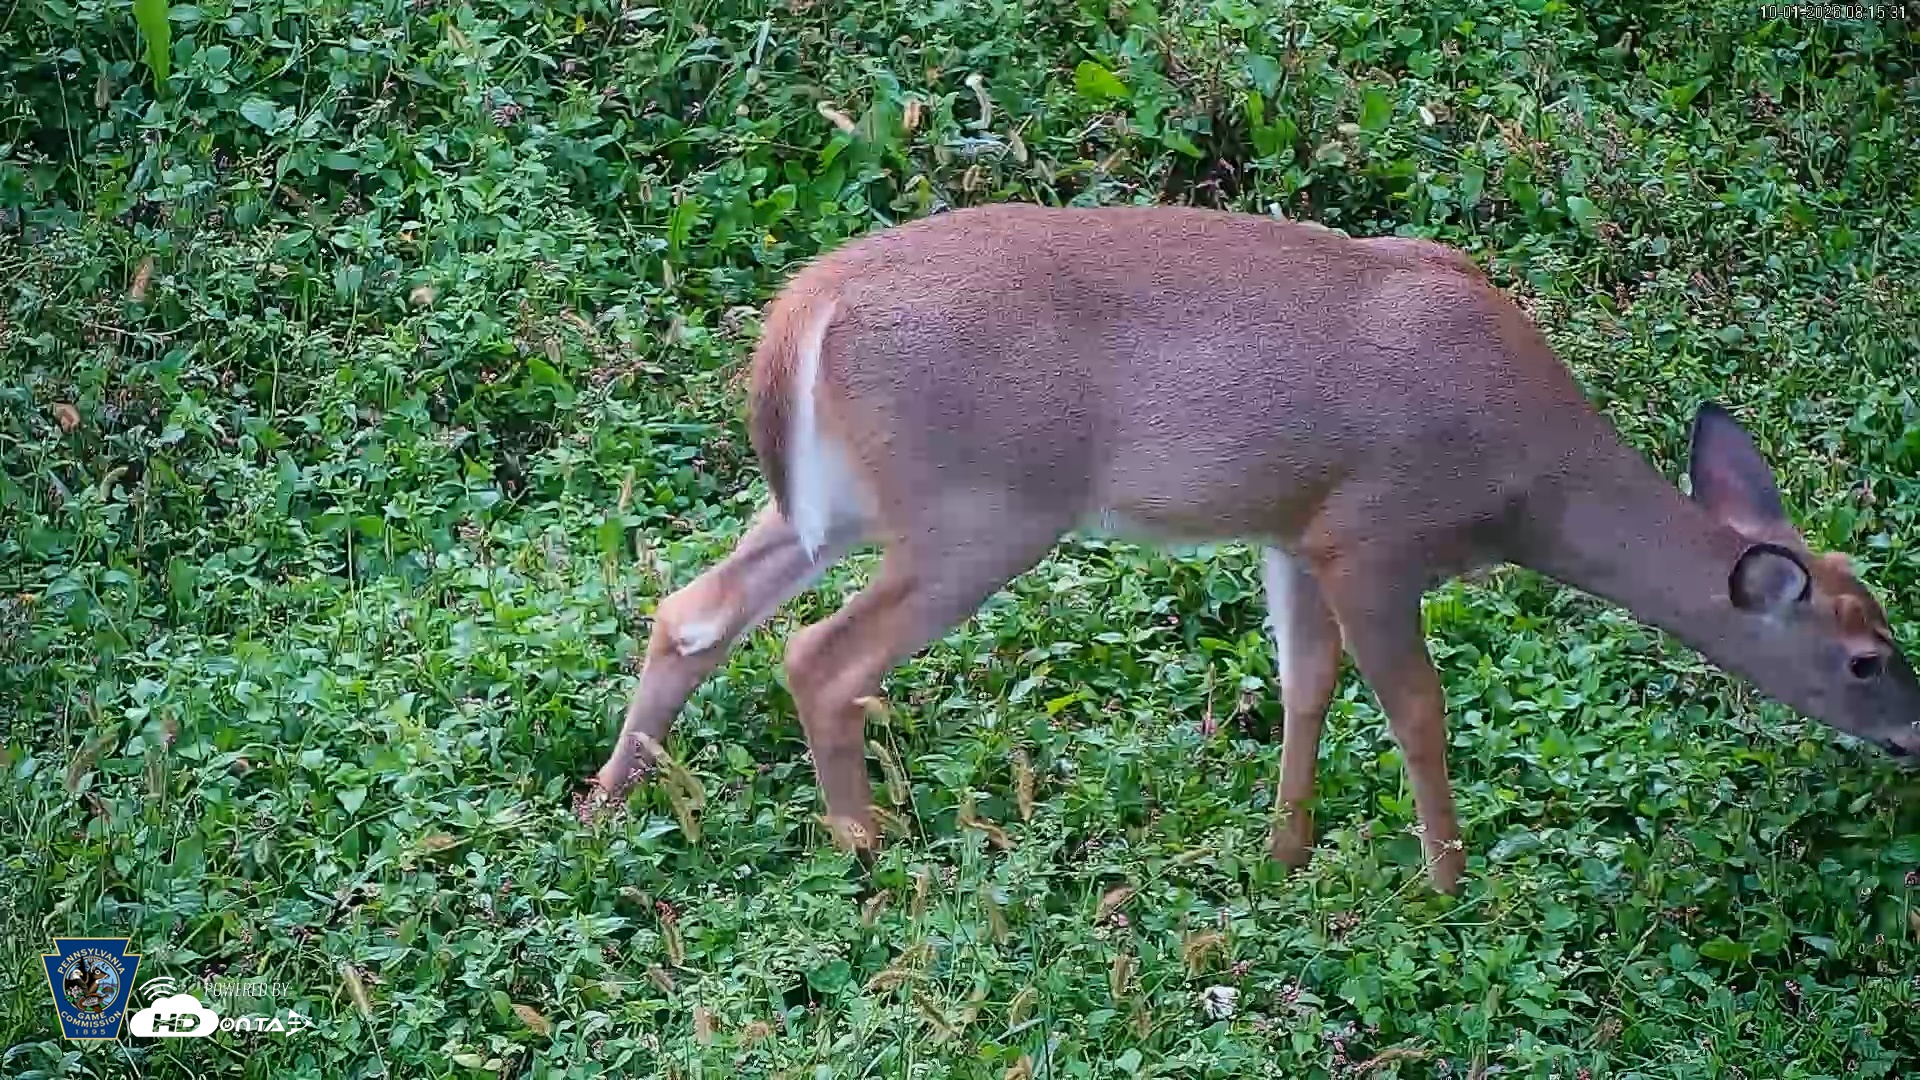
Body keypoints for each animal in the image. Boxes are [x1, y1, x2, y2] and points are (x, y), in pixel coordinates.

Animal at [588, 203, 1920, 893]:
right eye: (1863, 657)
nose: (1914, 730)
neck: (1523, 482)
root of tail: (800, 311)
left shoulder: (1292, 529)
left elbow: (1304, 684)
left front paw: (1284, 852)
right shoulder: (1373, 533)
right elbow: (1418, 709)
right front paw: (1448, 886)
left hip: (841, 508)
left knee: (690, 610)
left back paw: (607, 808)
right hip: (983, 509)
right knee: (820, 657)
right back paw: (873, 856)